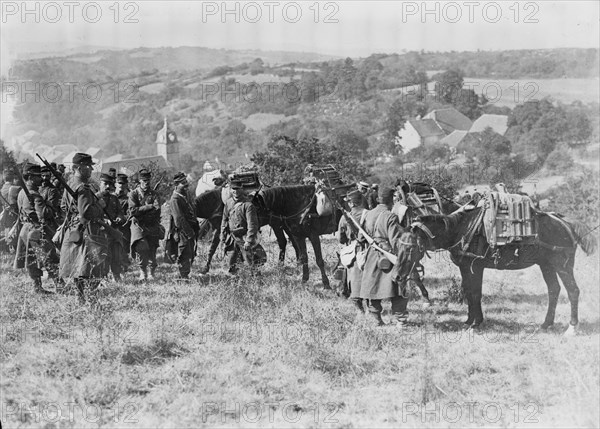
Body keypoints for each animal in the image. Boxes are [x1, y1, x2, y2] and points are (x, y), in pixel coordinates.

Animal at [396, 205, 596, 334]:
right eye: (398, 244)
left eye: (411, 248)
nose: (398, 276)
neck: (461, 230)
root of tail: (566, 223)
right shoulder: (464, 268)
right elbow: (468, 292)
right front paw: (469, 321)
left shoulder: (475, 267)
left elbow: (475, 293)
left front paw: (476, 323)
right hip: (546, 265)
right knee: (554, 290)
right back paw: (546, 324)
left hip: (563, 265)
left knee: (573, 291)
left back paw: (572, 327)